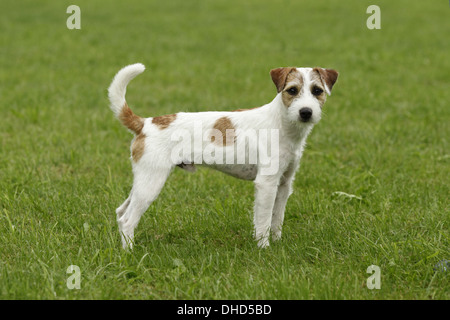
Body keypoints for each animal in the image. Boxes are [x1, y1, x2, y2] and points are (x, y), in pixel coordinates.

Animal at [106, 63, 338, 248]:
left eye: (317, 90)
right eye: (292, 90)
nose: (306, 112)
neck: (280, 123)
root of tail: (145, 123)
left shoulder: (284, 183)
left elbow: (276, 219)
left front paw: (277, 242)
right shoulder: (266, 183)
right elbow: (263, 220)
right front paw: (264, 248)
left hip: (143, 182)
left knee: (121, 212)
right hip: (151, 182)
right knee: (128, 220)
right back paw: (130, 253)